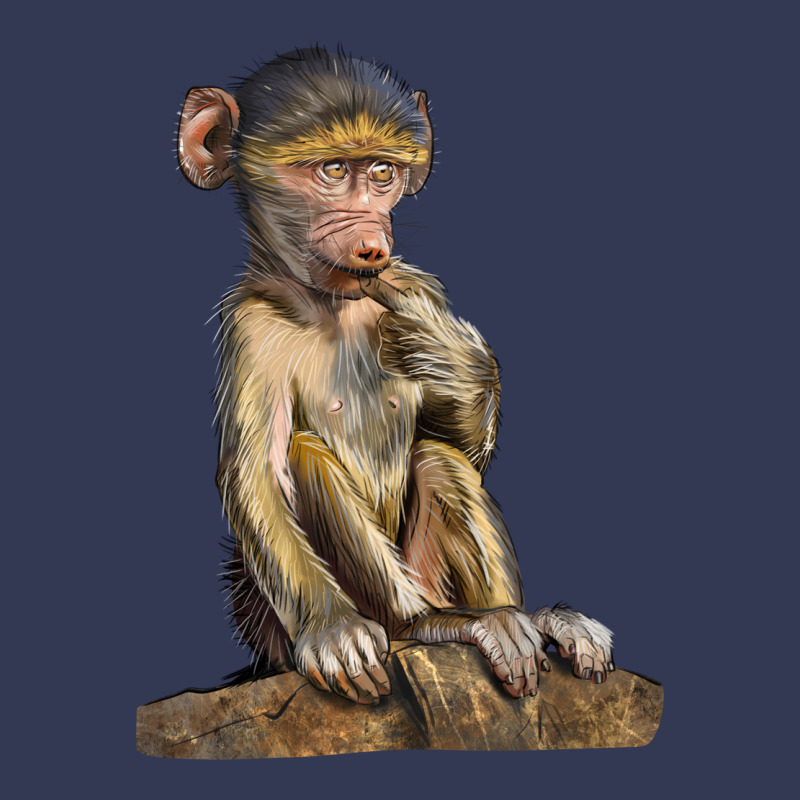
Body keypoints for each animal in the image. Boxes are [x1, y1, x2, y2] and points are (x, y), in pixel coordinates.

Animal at [176, 47, 614, 705]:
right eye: (333, 170)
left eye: (382, 172)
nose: (371, 242)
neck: (328, 304)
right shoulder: (250, 328)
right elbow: (256, 474)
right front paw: (329, 629)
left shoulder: (417, 284)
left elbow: (462, 446)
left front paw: (448, 355)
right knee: (307, 456)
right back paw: (429, 626)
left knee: (440, 460)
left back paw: (525, 619)